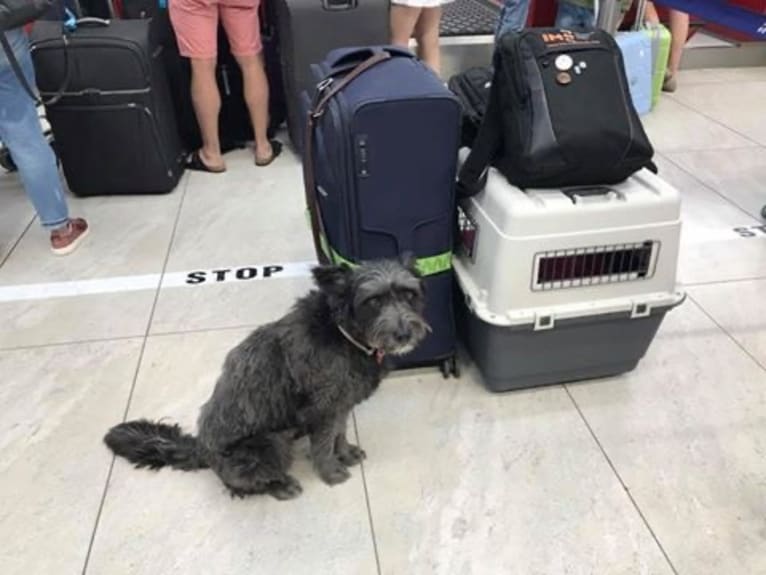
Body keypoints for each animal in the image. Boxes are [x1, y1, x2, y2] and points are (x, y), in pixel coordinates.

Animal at [104, 258, 428, 502]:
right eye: (373, 301)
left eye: (408, 294)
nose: (404, 334)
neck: (342, 332)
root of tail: (202, 449)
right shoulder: (322, 410)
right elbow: (324, 445)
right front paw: (331, 473)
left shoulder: (340, 406)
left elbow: (339, 433)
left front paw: (345, 453)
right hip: (271, 442)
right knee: (243, 484)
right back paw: (281, 485)